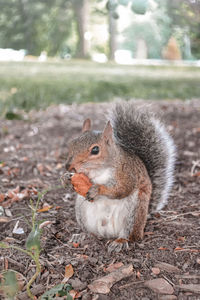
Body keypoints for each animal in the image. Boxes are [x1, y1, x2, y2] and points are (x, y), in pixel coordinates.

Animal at [61, 102, 175, 252]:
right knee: (92, 233)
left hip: (134, 211)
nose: (69, 166)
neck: (97, 171)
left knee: (130, 235)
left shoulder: (127, 173)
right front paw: (66, 177)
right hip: (82, 210)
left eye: (95, 150)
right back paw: (82, 236)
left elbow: (121, 189)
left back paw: (120, 242)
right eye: (71, 143)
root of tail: (108, 233)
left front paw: (97, 189)